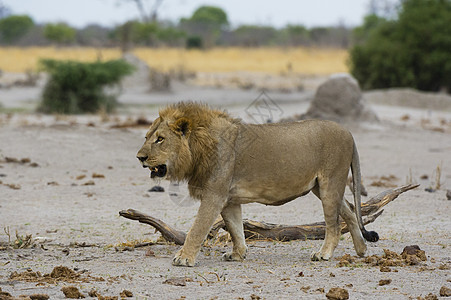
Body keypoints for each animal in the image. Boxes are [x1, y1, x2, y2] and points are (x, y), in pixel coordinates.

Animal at [137, 102, 378, 266]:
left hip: (330, 182)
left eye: (160, 139)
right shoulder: (229, 200)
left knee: (334, 224)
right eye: (147, 137)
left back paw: (324, 254)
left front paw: (184, 258)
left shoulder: (214, 195)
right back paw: (361, 249)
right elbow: (235, 228)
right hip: (322, 187)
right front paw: (238, 254)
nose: (140, 157)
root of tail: (349, 133)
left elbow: (198, 228)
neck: (198, 147)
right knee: (350, 211)